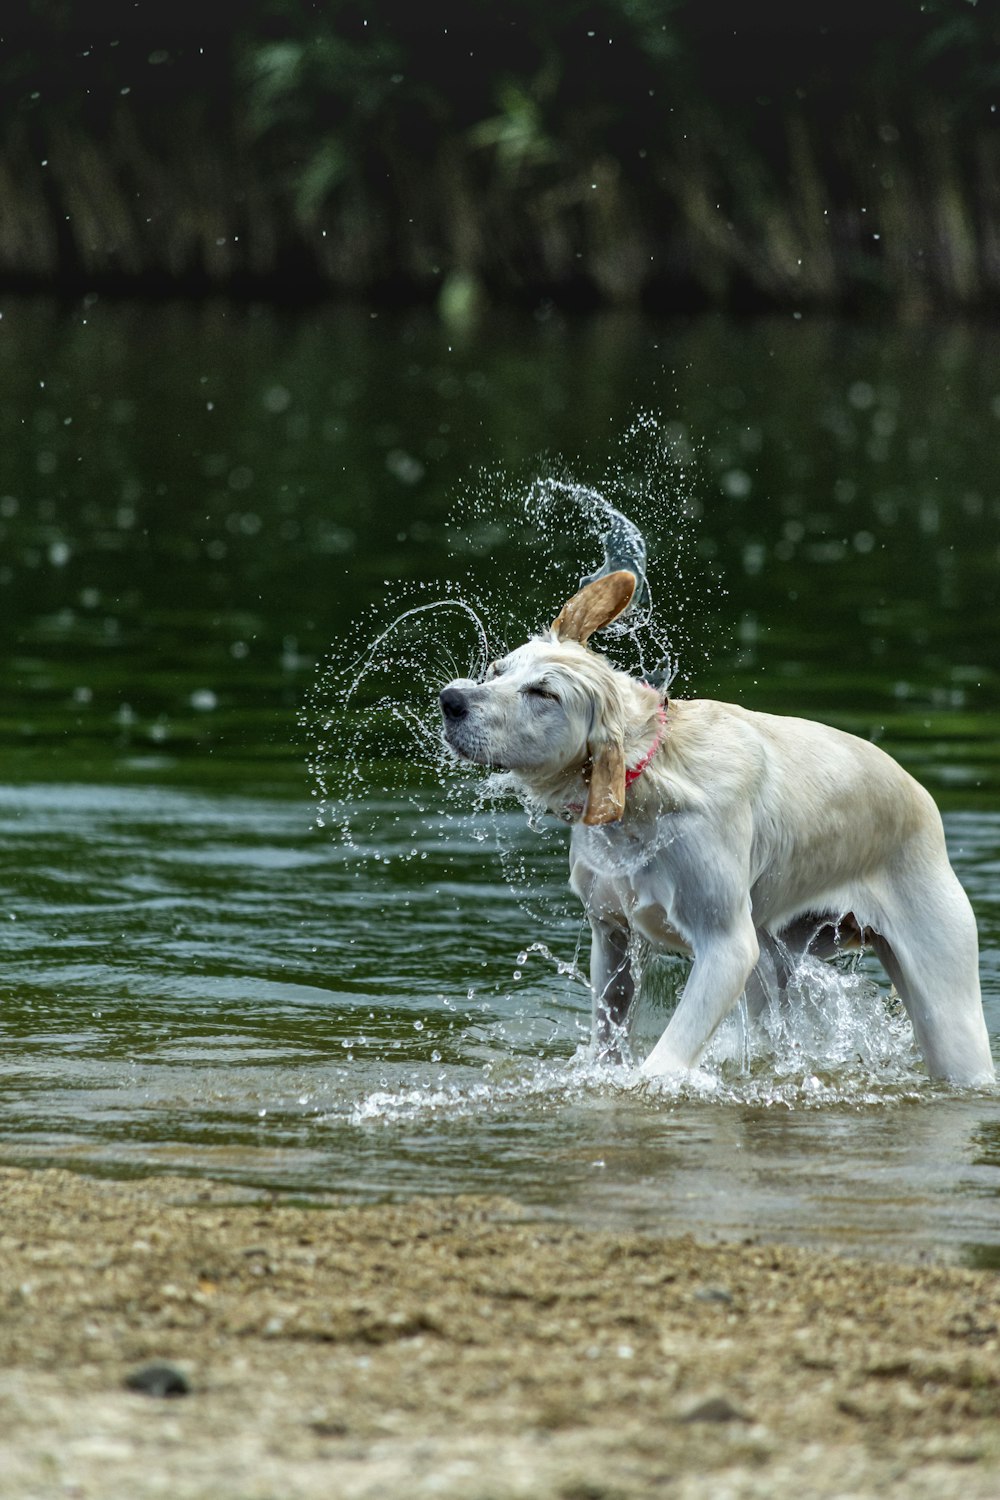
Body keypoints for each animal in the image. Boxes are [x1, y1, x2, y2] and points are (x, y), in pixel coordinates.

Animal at [437, 567, 995, 1086]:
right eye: (496, 669)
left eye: (544, 693)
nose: (451, 700)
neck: (649, 780)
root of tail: (922, 799)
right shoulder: (612, 933)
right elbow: (609, 1028)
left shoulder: (726, 947)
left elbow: (665, 1059)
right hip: (773, 968)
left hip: (946, 1004)